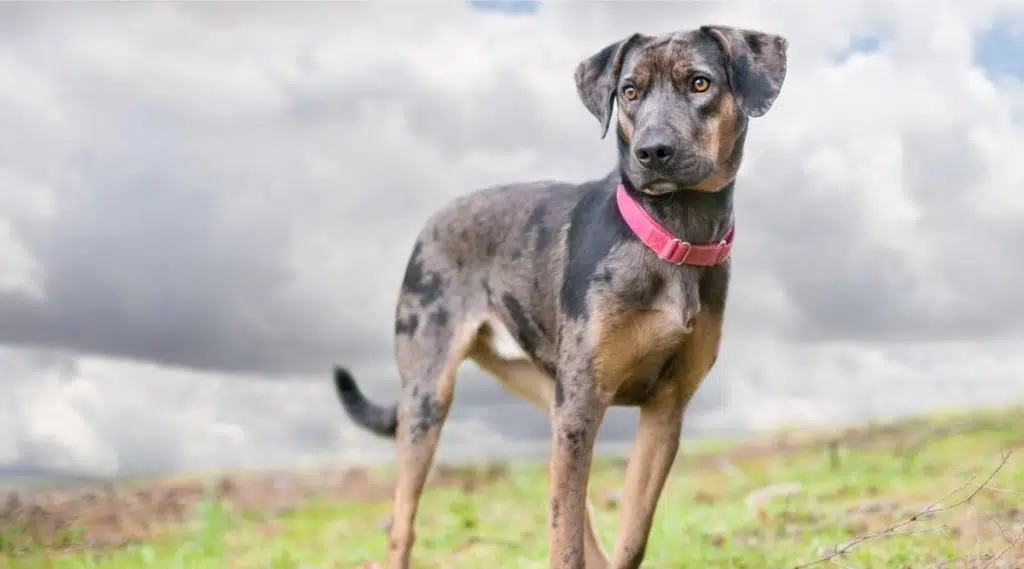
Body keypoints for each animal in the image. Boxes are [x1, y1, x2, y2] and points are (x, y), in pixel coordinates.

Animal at [331, 23, 786, 569]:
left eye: (700, 83)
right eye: (629, 91)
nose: (652, 152)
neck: (672, 233)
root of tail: (433, 220)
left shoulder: (665, 408)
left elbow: (630, 538)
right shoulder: (582, 403)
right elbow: (563, 543)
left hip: (545, 392)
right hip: (430, 394)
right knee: (403, 527)